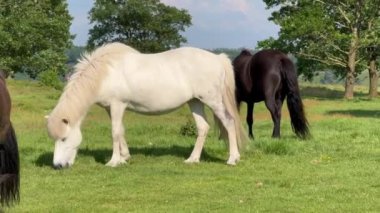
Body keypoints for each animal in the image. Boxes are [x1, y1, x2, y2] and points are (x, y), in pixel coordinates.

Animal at [46, 42, 248, 168]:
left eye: (64, 138)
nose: (58, 166)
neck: (105, 73)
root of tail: (217, 58)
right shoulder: (111, 108)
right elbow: (121, 131)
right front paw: (125, 157)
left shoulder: (117, 105)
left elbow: (115, 132)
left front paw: (113, 161)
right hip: (195, 102)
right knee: (203, 128)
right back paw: (193, 159)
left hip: (212, 101)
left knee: (229, 122)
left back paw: (233, 158)